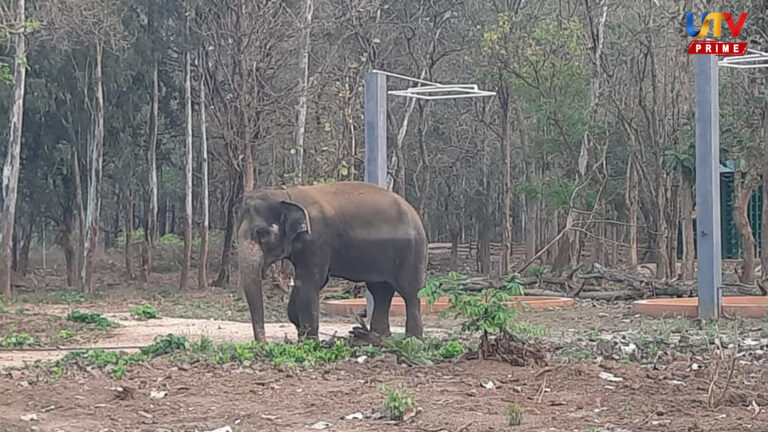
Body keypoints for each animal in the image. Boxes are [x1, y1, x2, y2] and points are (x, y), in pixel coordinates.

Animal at [237, 181, 427, 343]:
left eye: (262, 234)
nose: (264, 344)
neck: (286, 195)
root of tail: (415, 213)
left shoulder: (317, 240)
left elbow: (310, 283)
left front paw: (308, 344)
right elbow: (303, 284)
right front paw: (301, 334)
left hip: (411, 251)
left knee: (410, 293)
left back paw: (413, 341)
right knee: (381, 291)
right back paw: (381, 339)